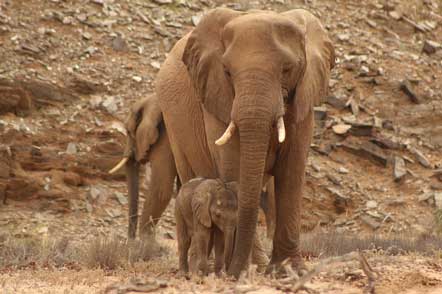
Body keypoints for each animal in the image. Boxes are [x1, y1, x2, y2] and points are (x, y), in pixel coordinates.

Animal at [109, 7, 332, 278]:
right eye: (227, 72)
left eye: (288, 69)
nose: (233, 273)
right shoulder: (214, 98)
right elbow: (233, 169)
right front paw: (248, 270)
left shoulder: (303, 99)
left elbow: (291, 173)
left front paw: (288, 271)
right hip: (176, 124)